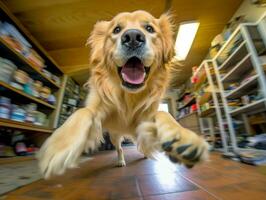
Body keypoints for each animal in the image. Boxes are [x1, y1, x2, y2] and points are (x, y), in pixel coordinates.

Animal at [39, 10, 210, 179]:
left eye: (149, 28)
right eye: (116, 30)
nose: (133, 37)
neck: (129, 96)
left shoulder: (146, 117)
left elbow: (163, 113)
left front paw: (182, 137)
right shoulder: (99, 110)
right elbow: (82, 112)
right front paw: (58, 146)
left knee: (142, 144)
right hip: (114, 135)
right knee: (120, 148)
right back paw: (121, 160)